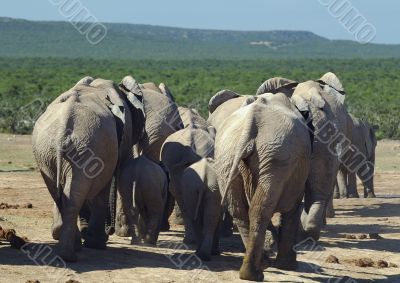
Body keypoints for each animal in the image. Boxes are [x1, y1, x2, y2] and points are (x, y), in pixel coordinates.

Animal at [32, 76, 145, 262]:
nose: (110, 231)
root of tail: (63, 127)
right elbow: (104, 186)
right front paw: (96, 244)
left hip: (51, 152)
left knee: (65, 193)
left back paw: (69, 248)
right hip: (81, 149)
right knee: (76, 193)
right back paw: (72, 253)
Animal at [216, 93, 312, 282]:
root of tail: (250, 125)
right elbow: (294, 207)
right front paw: (288, 266)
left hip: (229, 157)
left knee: (238, 210)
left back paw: (256, 269)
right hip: (277, 158)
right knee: (260, 209)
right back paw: (256, 272)